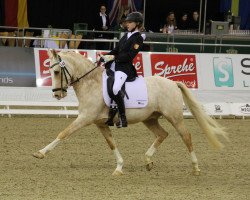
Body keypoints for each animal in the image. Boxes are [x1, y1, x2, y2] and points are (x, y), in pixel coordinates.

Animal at [33, 49, 229, 175]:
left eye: (56, 71)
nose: (57, 94)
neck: (91, 83)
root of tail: (173, 83)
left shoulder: (85, 118)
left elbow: (63, 133)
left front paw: (40, 153)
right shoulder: (100, 124)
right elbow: (111, 144)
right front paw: (119, 167)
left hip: (174, 117)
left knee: (186, 136)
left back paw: (195, 168)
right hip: (150, 119)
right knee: (162, 134)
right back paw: (148, 160)